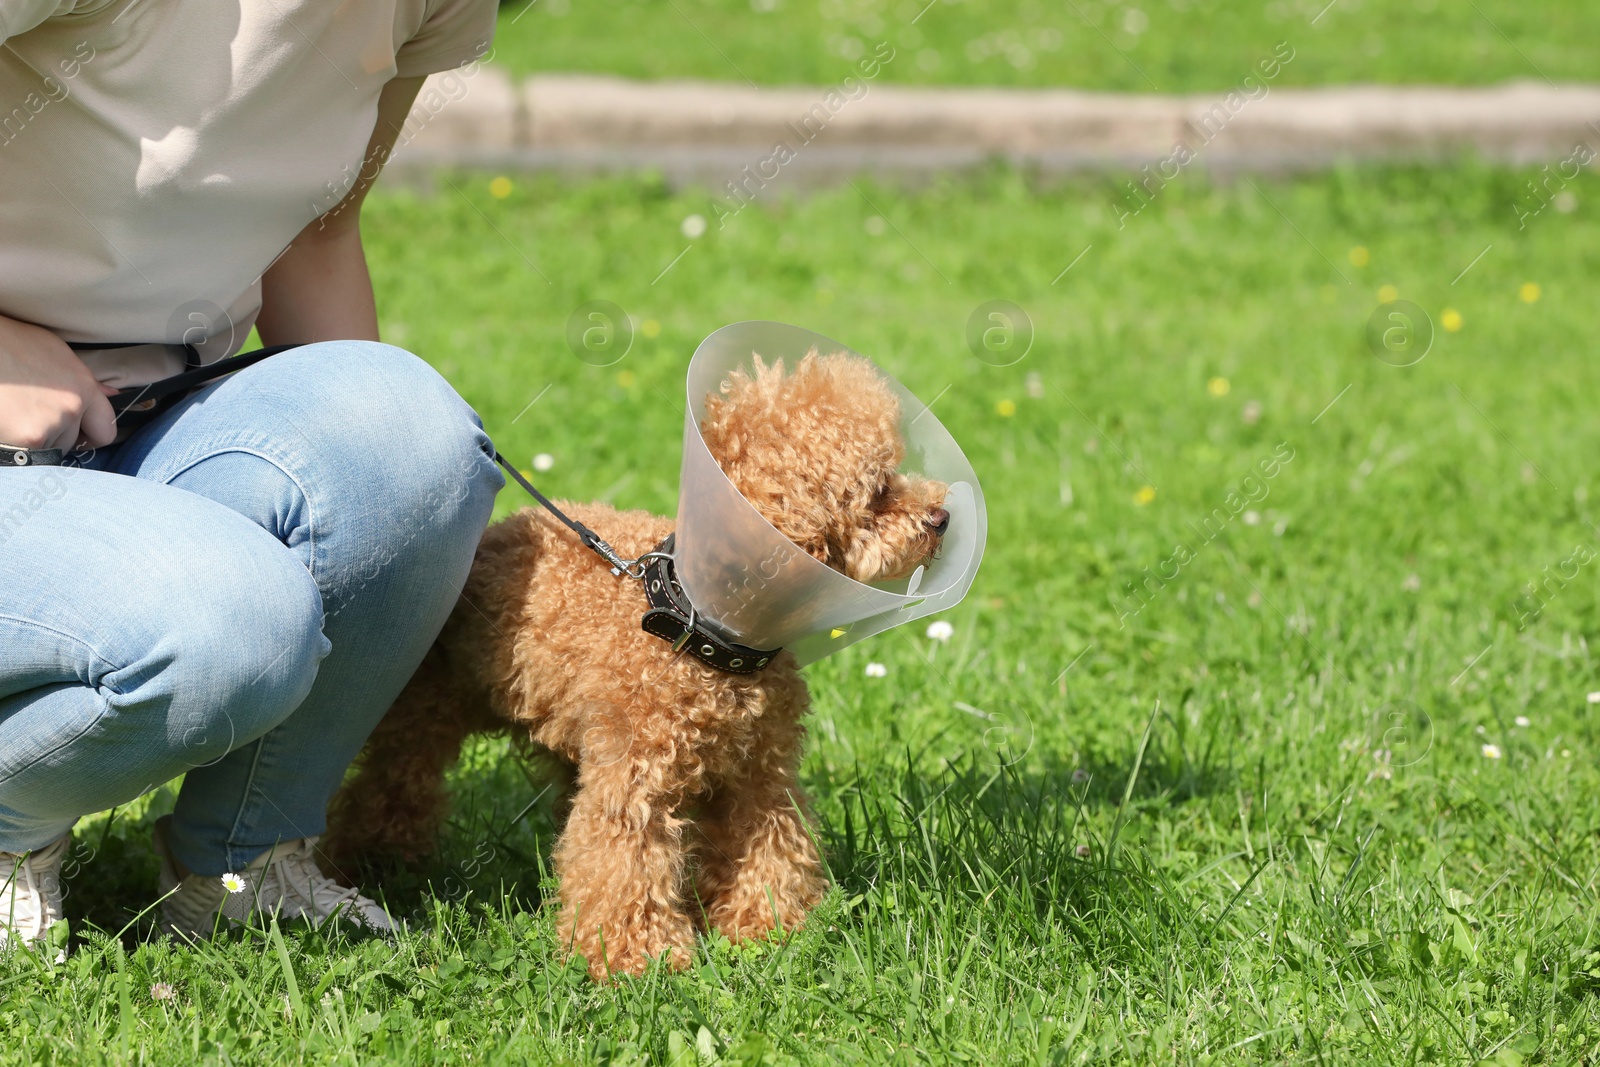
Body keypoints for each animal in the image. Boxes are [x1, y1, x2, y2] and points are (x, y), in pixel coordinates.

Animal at [328, 350, 947, 979]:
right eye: (878, 489)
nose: (942, 515)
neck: (701, 631)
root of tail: (488, 536)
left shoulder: (760, 778)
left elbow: (773, 849)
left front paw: (770, 930)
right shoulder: (634, 781)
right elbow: (626, 864)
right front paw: (635, 958)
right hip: (426, 712)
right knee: (393, 786)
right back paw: (370, 866)